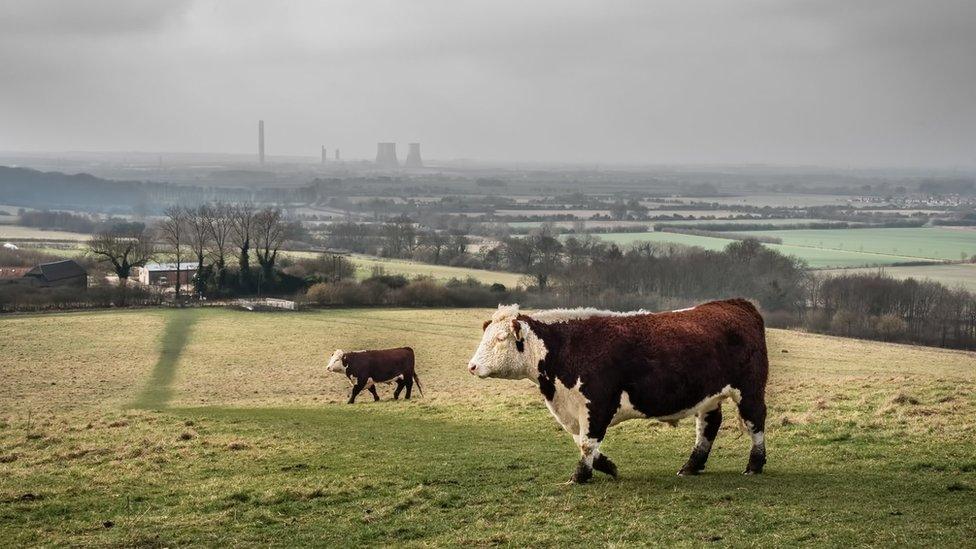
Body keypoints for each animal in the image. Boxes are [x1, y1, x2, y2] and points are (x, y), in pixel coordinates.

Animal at [466, 299, 769, 484]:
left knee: (755, 422)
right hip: (707, 395)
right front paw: (607, 466)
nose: (472, 366)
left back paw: (755, 465)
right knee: (708, 425)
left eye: (500, 338)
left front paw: (580, 477)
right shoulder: (574, 409)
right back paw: (691, 465)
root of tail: (735, 303)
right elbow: (581, 441)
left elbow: (587, 442)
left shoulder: (597, 402)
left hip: (750, 390)